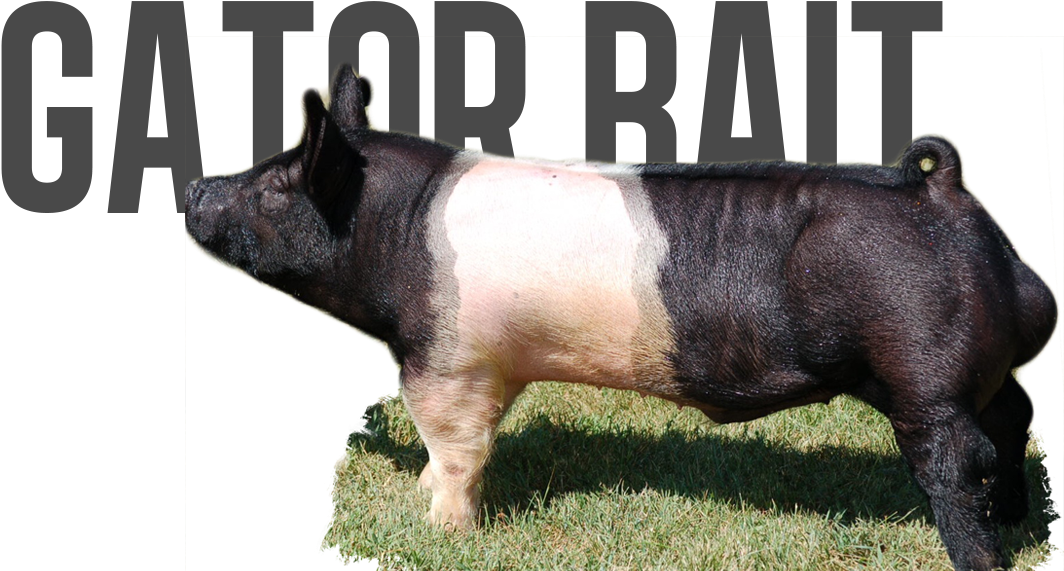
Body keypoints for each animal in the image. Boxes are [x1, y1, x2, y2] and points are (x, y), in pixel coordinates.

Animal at [185, 62, 1058, 571]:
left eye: (274, 185)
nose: (193, 187)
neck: (396, 228)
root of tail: (941, 188)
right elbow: (445, 452)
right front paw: (424, 500)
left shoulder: (453, 358)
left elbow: (457, 447)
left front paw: (441, 535)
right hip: (962, 368)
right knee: (1015, 409)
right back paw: (1018, 517)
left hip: (922, 370)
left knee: (962, 457)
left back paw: (980, 557)